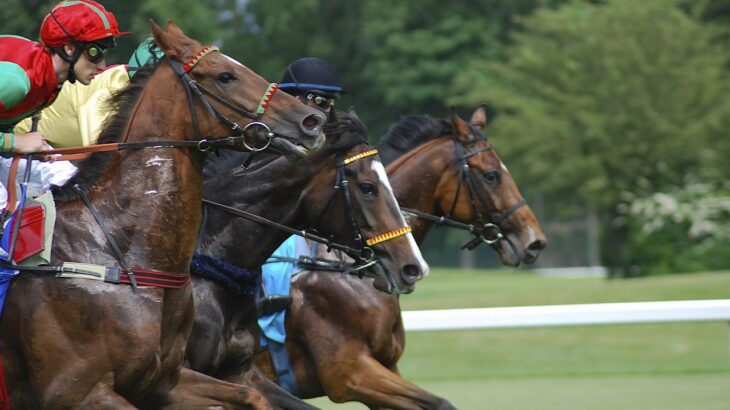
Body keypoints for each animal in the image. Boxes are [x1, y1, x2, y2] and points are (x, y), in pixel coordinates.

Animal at [0, 20, 324, 410]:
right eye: (225, 76)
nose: (312, 120)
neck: (118, 253)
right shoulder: (77, 393)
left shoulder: (166, 382)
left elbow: (251, 396)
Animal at [253, 106, 544, 410]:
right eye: (491, 175)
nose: (534, 241)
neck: (347, 268)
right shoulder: (350, 374)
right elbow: (441, 403)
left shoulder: (386, 367)